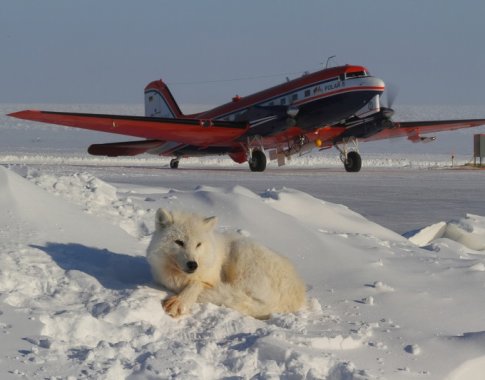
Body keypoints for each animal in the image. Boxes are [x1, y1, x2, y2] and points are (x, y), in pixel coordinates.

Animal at [147, 209, 306, 320]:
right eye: (179, 242)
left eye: (198, 244)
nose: (193, 265)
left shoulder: (210, 279)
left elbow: (196, 284)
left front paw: (180, 301)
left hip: (242, 250)